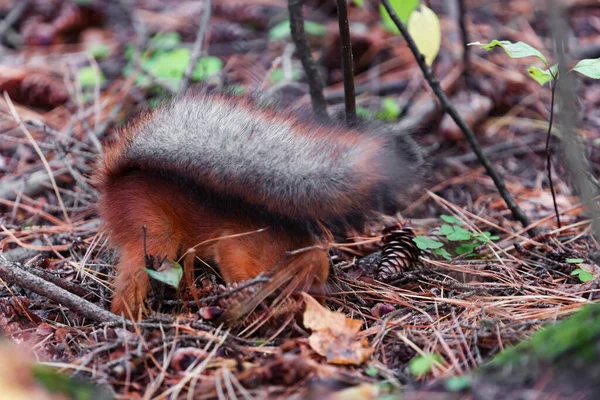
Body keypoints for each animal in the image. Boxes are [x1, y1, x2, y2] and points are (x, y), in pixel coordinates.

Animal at [96, 92, 422, 318]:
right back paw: (128, 317)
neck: (283, 249)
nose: (313, 305)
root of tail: (114, 182)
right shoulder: (234, 247)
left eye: (320, 276)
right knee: (131, 281)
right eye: (302, 280)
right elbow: (233, 264)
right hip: (155, 235)